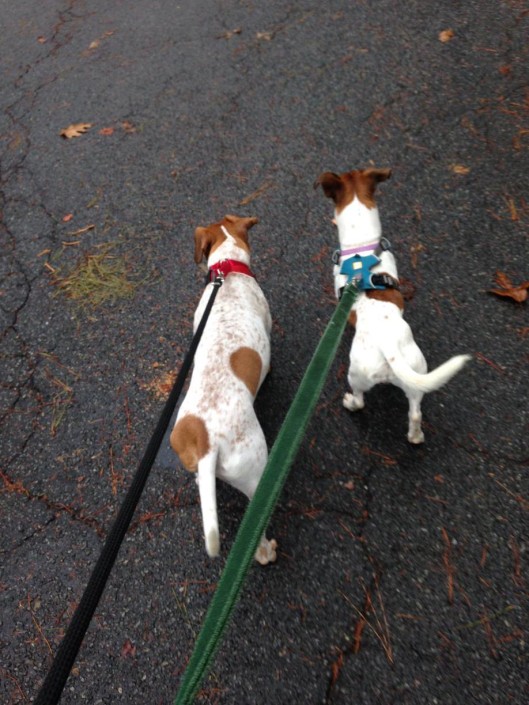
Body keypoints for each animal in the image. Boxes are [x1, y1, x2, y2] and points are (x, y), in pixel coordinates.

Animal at [316, 168, 468, 442]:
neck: (362, 246)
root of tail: (389, 348)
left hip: (357, 375)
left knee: (360, 400)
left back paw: (350, 402)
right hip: (417, 374)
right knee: (415, 413)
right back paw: (416, 437)